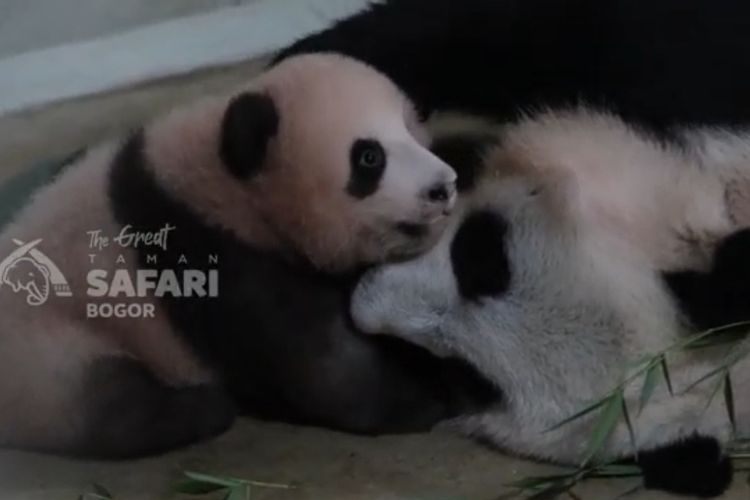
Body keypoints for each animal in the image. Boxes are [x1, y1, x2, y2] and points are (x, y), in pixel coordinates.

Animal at [0, 53, 482, 459]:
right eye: (369, 157)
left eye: (412, 129)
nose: (443, 187)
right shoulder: (210, 253)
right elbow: (321, 367)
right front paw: (430, 394)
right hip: (50, 344)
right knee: (104, 399)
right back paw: (201, 408)